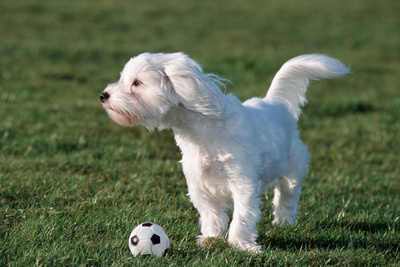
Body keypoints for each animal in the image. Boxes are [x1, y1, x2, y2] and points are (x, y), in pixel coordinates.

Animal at [100, 52, 350, 253]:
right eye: (123, 79)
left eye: (137, 83)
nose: (103, 95)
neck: (203, 133)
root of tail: (274, 103)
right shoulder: (199, 185)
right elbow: (212, 214)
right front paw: (211, 238)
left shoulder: (243, 182)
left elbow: (242, 215)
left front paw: (243, 245)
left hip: (293, 171)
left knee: (287, 198)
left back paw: (284, 223)